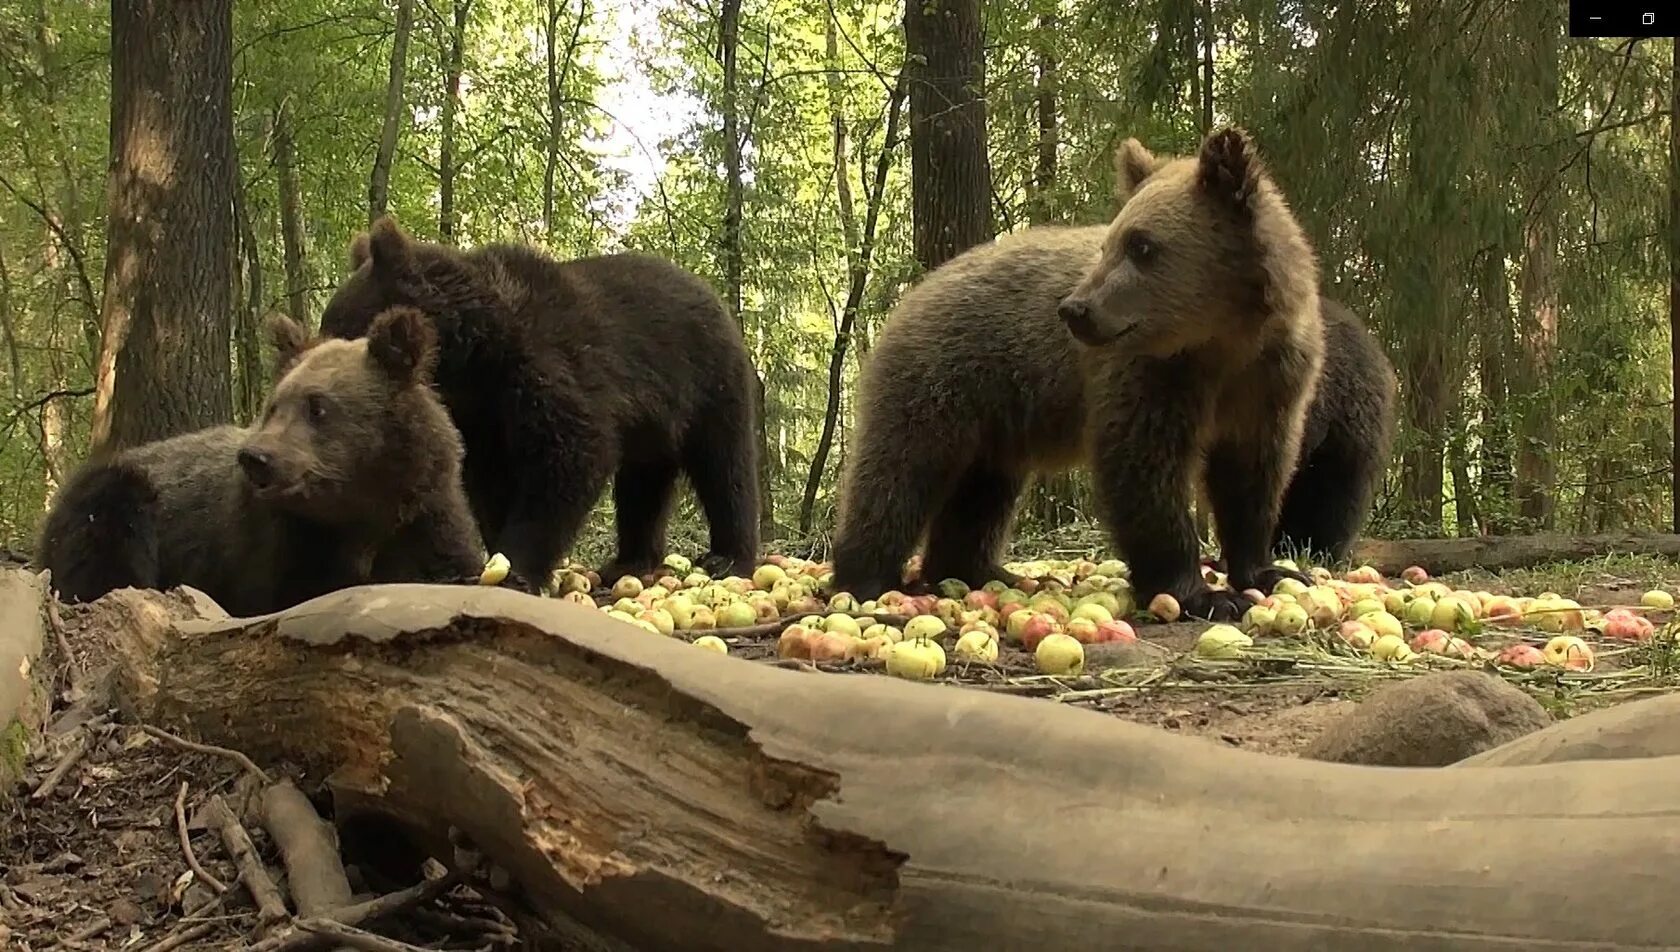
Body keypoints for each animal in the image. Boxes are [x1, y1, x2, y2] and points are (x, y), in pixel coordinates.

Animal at [34, 305, 487, 617]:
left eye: (317, 406)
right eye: (274, 406)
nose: (257, 458)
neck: (361, 513)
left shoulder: (425, 516)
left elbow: (451, 564)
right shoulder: (278, 543)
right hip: (120, 497)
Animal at [315, 216, 762, 587]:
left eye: (342, 327)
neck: (476, 358)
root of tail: (714, 296)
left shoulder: (548, 369)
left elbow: (570, 455)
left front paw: (518, 568)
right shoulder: (482, 415)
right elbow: (489, 479)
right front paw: (499, 556)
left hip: (708, 381)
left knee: (724, 465)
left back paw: (727, 557)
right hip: (654, 425)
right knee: (643, 484)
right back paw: (629, 561)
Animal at [833, 126, 1397, 621]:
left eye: (1141, 245)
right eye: (1112, 242)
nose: (1075, 310)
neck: (1224, 342)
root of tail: (919, 287)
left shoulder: (1273, 382)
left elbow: (1254, 475)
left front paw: (1269, 570)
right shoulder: (1152, 374)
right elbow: (1144, 466)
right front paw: (1201, 594)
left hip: (997, 418)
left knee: (981, 492)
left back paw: (982, 572)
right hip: (944, 376)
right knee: (900, 469)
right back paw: (866, 577)